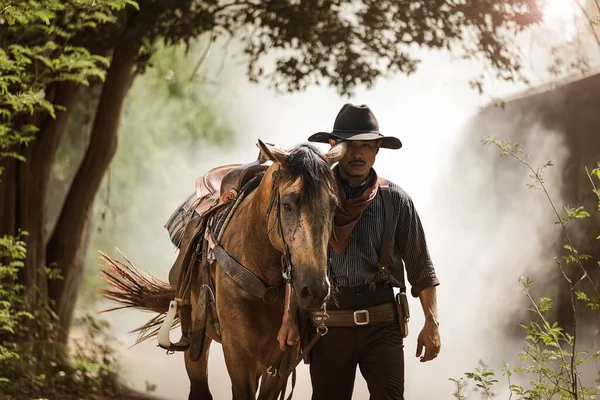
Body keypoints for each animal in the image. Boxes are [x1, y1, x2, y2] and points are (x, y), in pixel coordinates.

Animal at [99, 141, 346, 400]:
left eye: (334, 206)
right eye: (287, 205)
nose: (315, 290)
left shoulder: (280, 366)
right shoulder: (238, 357)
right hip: (196, 340)